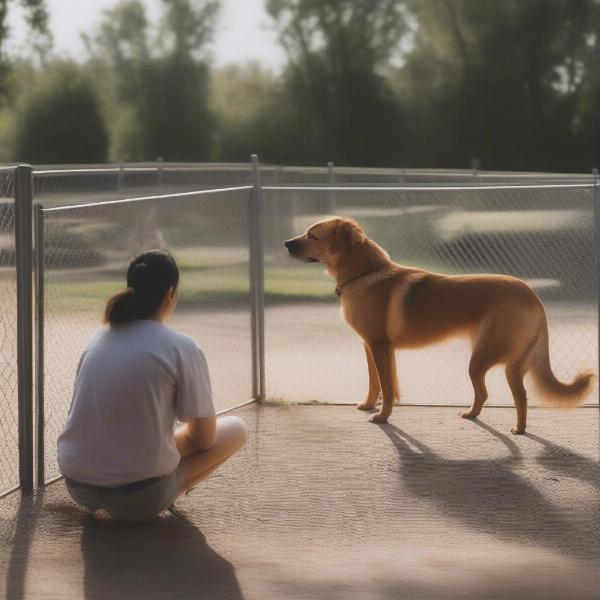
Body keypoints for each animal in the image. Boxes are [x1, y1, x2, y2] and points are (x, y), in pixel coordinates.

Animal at [286, 216, 596, 432]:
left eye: (313, 235)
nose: (286, 244)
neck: (365, 272)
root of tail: (532, 295)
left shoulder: (380, 347)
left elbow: (387, 387)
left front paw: (383, 416)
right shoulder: (372, 348)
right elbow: (378, 383)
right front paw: (369, 405)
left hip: (486, 360)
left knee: (509, 394)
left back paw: (514, 428)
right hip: (497, 360)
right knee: (495, 394)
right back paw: (479, 416)